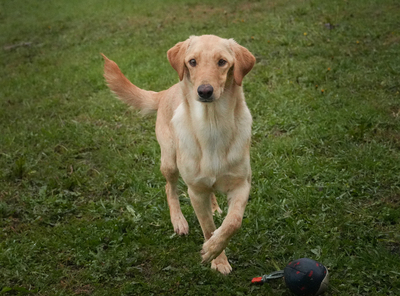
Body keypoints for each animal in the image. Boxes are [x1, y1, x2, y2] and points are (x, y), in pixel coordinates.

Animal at [101, 35, 255, 276]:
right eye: (192, 62)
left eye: (222, 62)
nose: (204, 91)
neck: (212, 126)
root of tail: (166, 91)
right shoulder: (195, 192)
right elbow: (208, 227)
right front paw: (217, 258)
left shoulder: (241, 184)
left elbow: (233, 222)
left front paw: (214, 246)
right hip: (169, 162)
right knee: (169, 188)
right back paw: (179, 221)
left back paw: (215, 207)